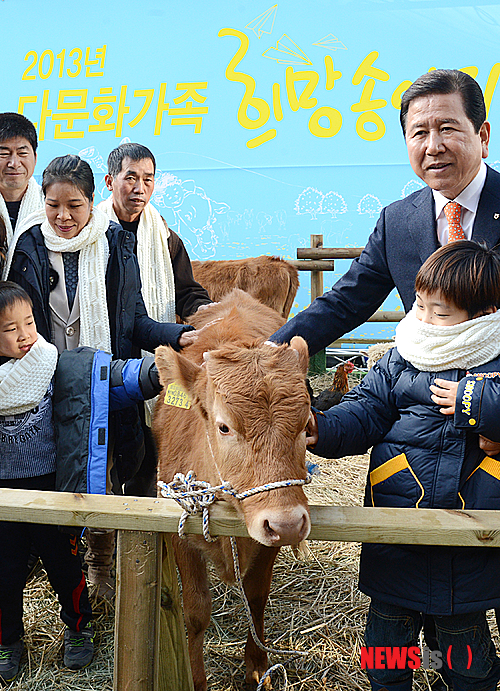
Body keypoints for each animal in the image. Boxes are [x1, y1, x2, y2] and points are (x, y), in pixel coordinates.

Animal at [154, 290, 310, 688]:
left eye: (306, 423)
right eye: (224, 426)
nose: (287, 523)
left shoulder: (267, 542)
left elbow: (256, 597)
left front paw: (256, 664)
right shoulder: (180, 533)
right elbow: (195, 611)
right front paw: (196, 678)